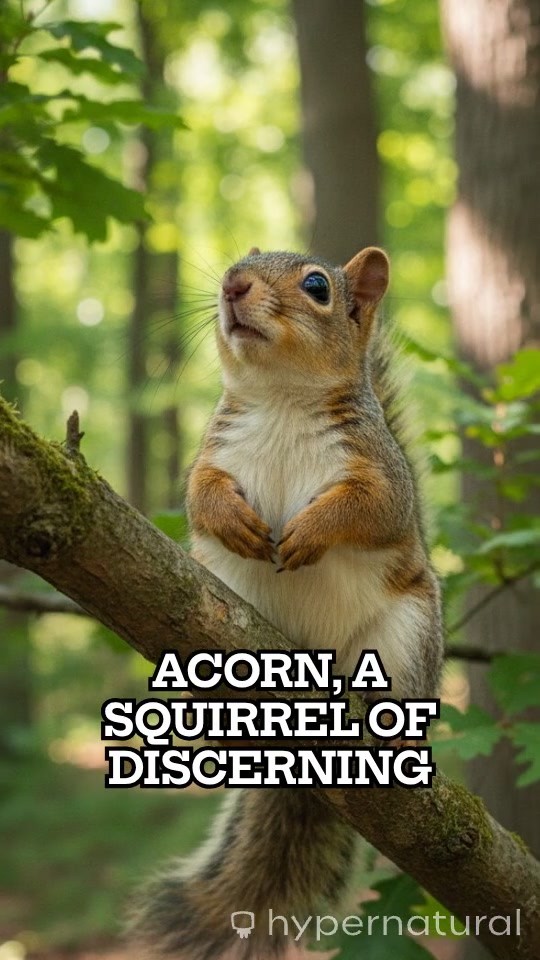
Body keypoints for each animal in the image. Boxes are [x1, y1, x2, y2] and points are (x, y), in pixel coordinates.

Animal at [129, 246, 444, 959]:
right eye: (237, 260)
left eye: (318, 286)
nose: (232, 285)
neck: (278, 400)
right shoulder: (210, 457)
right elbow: (201, 497)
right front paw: (233, 521)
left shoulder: (382, 476)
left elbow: (370, 510)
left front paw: (312, 531)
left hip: (407, 636)